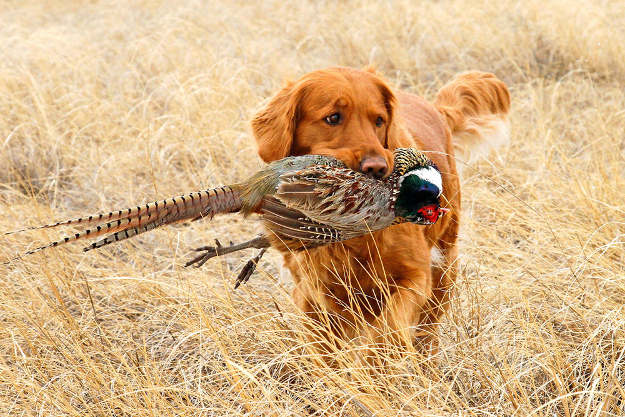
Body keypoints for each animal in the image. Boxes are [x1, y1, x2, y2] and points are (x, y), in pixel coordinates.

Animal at [251, 66, 510, 352]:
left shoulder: (415, 277)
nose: (376, 168)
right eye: (333, 117)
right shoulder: (313, 294)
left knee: (428, 329)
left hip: (444, 265)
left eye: (379, 120)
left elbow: (389, 328)